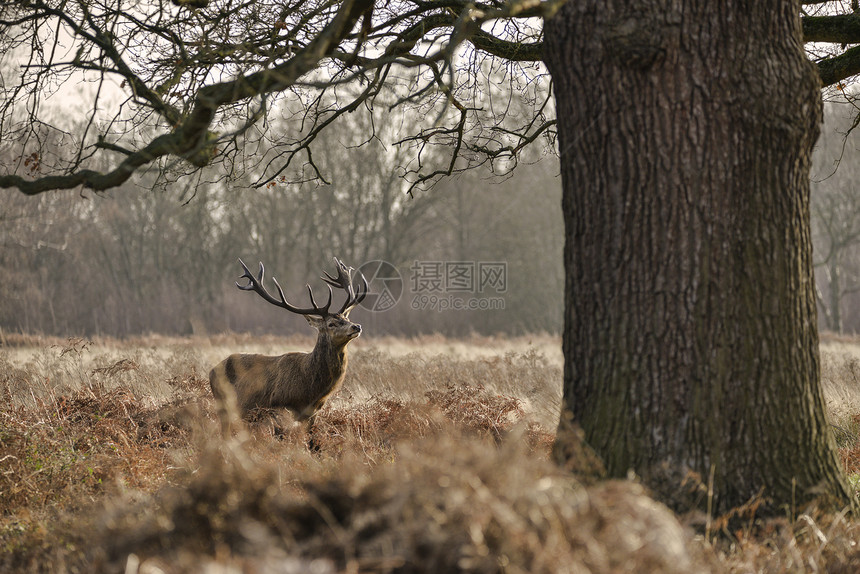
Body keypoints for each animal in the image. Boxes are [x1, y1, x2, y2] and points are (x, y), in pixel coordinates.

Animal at [212, 258, 370, 448]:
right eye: (331, 324)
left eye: (346, 318)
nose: (356, 326)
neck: (311, 388)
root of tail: (212, 370)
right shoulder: (278, 407)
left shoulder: (312, 413)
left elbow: (312, 443)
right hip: (223, 404)